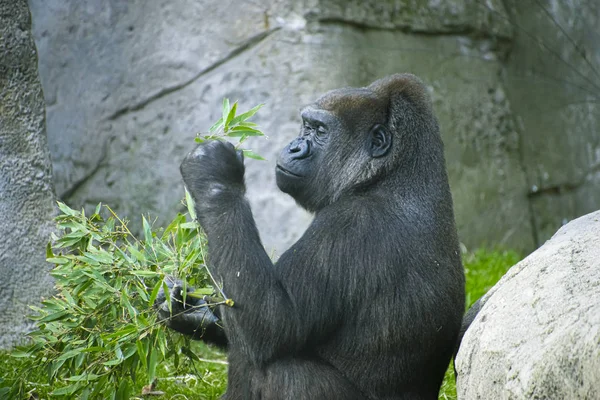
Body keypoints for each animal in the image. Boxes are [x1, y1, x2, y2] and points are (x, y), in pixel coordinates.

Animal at [157, 73, 466, 398]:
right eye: (305, 126)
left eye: (319, 131)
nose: (294, 147)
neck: (389, 175)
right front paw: (191, 312)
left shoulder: (351, 224)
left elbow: (274, 325)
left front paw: (214, 173)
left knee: (277, 365)